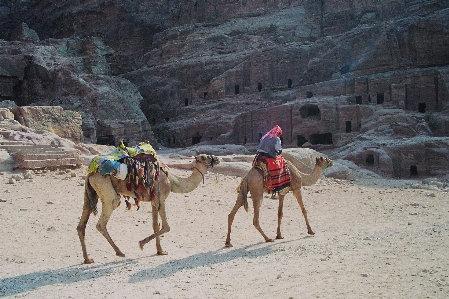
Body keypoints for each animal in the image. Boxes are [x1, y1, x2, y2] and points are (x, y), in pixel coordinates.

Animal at [77, 155, 220, 264]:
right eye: (205, 157)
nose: (217, 158)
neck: (172, 180)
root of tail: (90, 172)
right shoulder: (160, 198)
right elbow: (166, 227)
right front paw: (141, 244)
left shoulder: (153, 201)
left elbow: (155, 225)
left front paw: (160, 251)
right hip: (106, 189)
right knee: (103, 220)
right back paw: (119, 252)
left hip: (91, 193)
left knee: (81, 224)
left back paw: (87, 259)